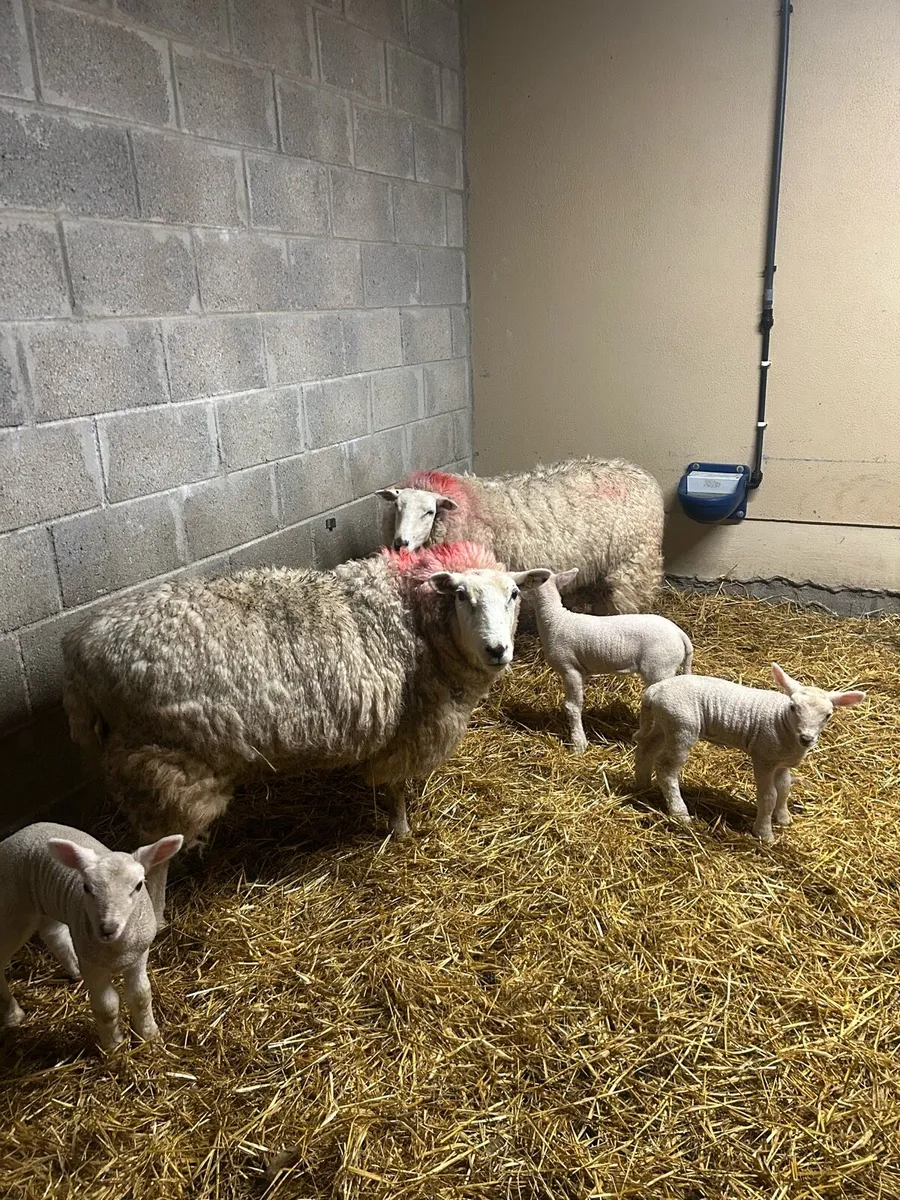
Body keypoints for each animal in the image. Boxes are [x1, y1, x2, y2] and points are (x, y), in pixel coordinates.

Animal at [0, 822, 183, 1050]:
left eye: (139, 885)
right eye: (86, 887)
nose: (108, 928)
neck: (116, 950)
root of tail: (16, 835)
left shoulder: (139, 955)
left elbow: (141, 995)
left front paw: (149, 1035)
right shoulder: (92, 963)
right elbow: (107, 1007)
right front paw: (113, 1046)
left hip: (46, 904)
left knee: (53, 933)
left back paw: (75, 971)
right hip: (13, 911)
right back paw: (12, 1014)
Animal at [62, 542, 552, 903]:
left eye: (514, 594)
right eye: (462, 596)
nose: (497, 650)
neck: (415, 616)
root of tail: (80, 654)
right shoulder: (410, 727)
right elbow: (394, 786)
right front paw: (401, 831)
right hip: (165, 760)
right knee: (154, 855)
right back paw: (157, 914)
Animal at [377, 456, 665, 615]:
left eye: (429, 512)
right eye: (397, 508)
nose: (400, 543)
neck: (469, 505)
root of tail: (640, 472)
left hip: (633, 560)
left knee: (626, 600)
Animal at [529, 568, 693, 752]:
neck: (555, 619)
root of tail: (680, 634)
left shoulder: (570, 669)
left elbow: (572, 706)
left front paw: (578, 744)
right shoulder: (580, 670)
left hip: (660, 667)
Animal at [633, 664, 867, 842]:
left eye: (828, 715)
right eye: (793, 707)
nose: (807, 738)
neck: (782, 722)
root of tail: (654, 691)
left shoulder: (781, 763)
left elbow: (784, 788)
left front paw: (783, 818)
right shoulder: (764, 757)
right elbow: (769, 796)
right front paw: (764, 833)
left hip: (665, 723)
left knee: (646, 746)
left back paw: (642, 785)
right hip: (682, 726)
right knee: (666, 767)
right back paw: (679, 812)